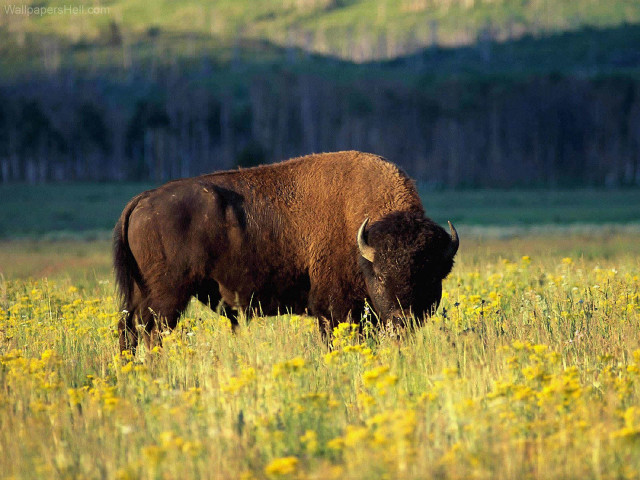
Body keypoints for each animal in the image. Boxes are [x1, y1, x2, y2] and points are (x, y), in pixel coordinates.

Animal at [114, 151, 458, 353]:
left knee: (129, 329)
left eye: (430, 275)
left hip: (141, 293)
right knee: (152, 331)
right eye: (382, 276)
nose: (403, 320)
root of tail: (143, 199)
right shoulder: (333, 308)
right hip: (168, 295)